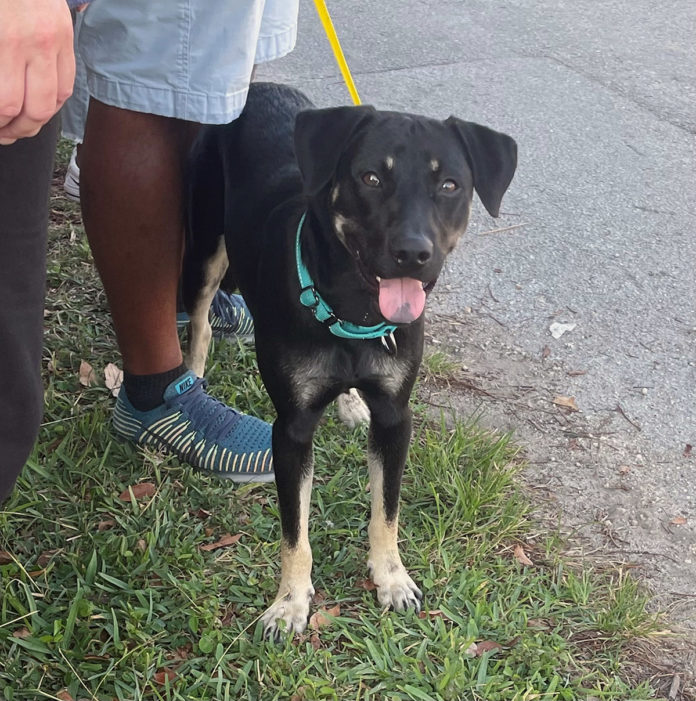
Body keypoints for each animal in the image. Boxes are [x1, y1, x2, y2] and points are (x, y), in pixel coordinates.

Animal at [181, 83, 516, 640]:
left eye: (449, 184)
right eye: (371, 177)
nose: (413, 253)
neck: (353, 308)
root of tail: (260, 84)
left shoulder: (396, 418)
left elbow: (387, 512)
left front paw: (392, 578)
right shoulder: (290, 430)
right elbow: (295, 532)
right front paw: (290, 603)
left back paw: (351, 403)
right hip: (205, 245)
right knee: (201, 320)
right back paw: (191, 381)